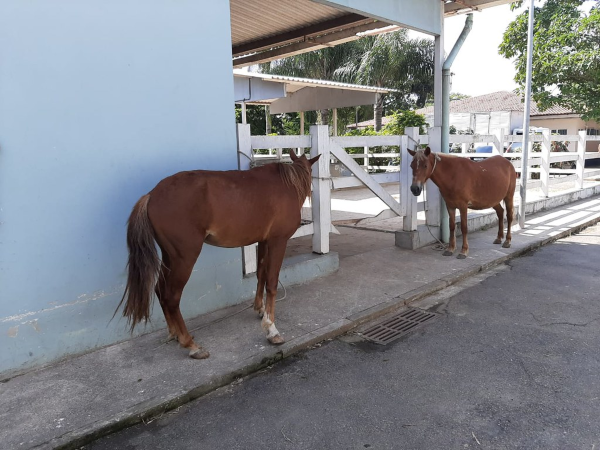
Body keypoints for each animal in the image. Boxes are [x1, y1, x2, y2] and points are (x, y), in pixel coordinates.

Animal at [115, 150, 322, 358]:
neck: (287, 184)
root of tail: (151, 195)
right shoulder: (278, 241)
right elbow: (271, 283)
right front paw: (271, 329)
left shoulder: (264, 241)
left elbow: (261, 274)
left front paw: (260, 309)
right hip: (184, 257)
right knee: (171, 297)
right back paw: (190, 344)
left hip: (169, 256)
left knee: (160, 290)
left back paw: (175, 334)